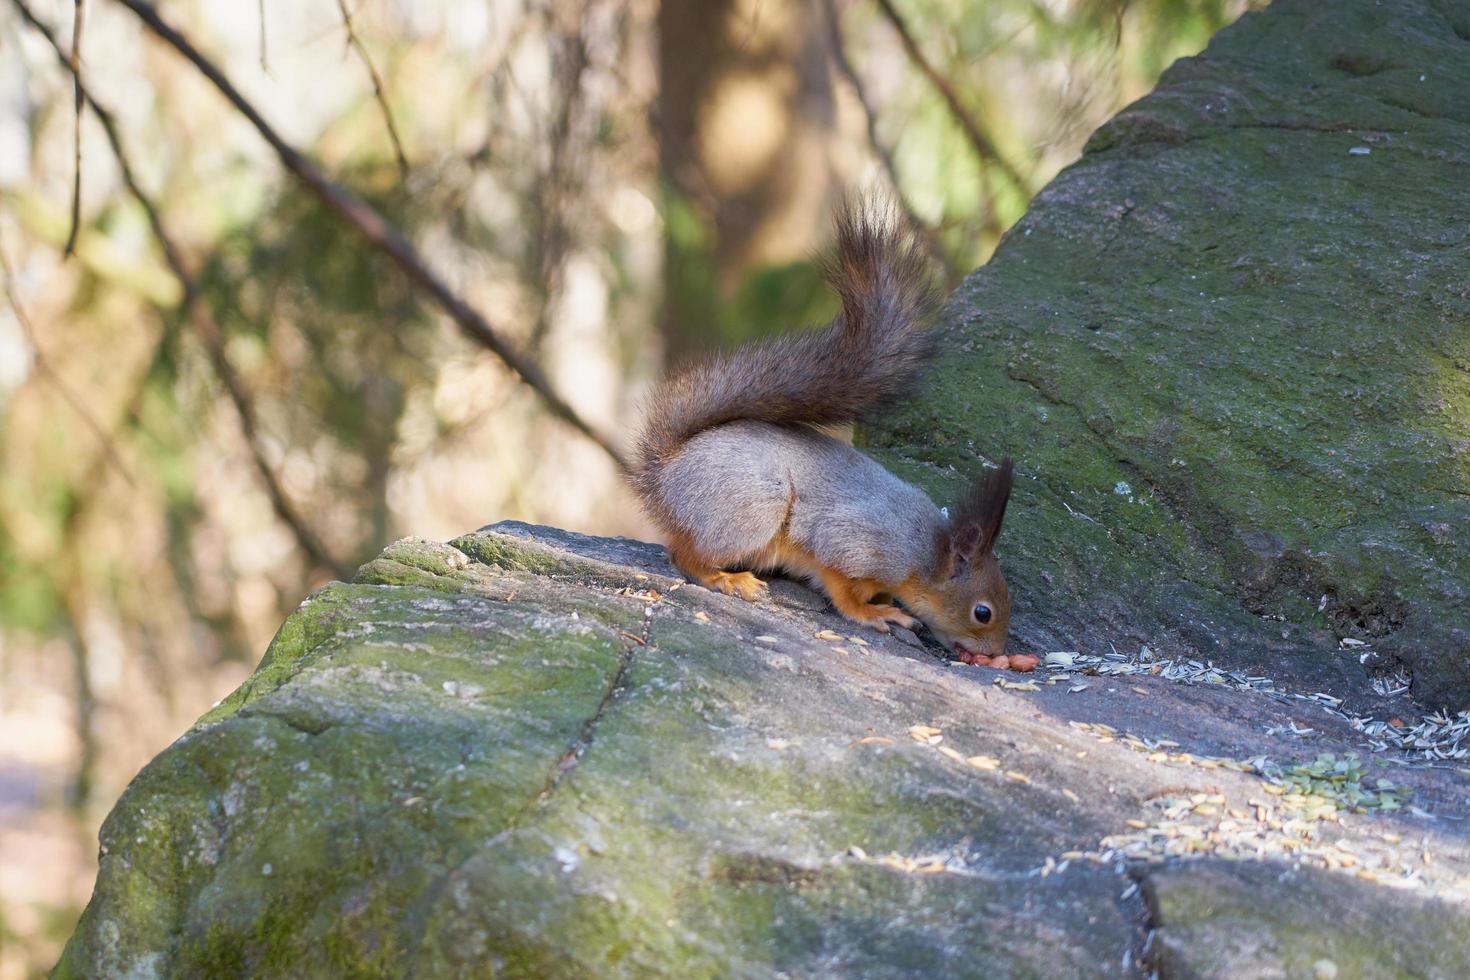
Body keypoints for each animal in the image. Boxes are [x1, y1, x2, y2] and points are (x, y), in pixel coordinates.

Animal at [632, 199, 1023, 667]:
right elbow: (842, 587)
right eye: (983, 612)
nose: (996, 652)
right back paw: (728, 579)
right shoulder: (856, 544)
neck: (924, 553)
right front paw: (879, 613)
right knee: (684, 553)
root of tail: (666, 474)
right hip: (752, 509)